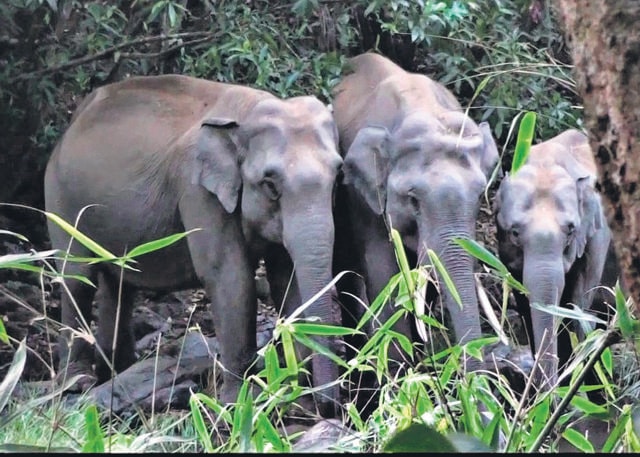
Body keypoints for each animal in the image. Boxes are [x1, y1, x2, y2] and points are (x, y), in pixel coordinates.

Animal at [44, 74, 343, 417]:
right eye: (270, 184)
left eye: (338, 175)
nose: (330, 406)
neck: (247, 113)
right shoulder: (198, 192)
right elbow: (229, 278)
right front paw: (238, 405)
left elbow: (288, 281)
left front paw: (299, 395)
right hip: (60, 200)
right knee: (77, 278)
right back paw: (78, 383)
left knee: (118, 285)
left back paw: (118, 372)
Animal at [331, 52, 500, 369]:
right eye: (414, 200)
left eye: (477, 197)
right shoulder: (363, 199)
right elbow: (381, 271)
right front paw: (401, 371)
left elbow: (427, 279)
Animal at [494, 128, 612, 391]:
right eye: (514, 232)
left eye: (570, 230)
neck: (546, 161)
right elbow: (525, 305)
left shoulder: (597, 237)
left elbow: (578, 307)